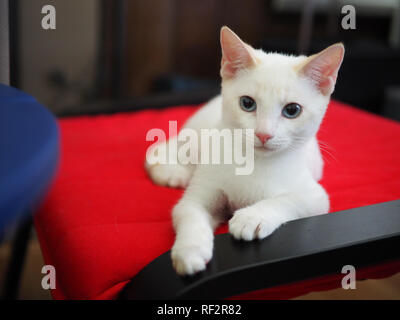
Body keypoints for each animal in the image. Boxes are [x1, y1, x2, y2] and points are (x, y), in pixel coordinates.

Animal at [145, 26, 346, 276]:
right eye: (247, 103)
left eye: (292, 110)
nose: (264, 134)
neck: (253, 162)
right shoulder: (199, 193)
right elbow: (189, 212)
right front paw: (190, 250)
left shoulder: (315, 196)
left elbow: (288, 200)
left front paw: (252, 216)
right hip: (197, 139)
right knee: (161, 149)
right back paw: (172, 173)